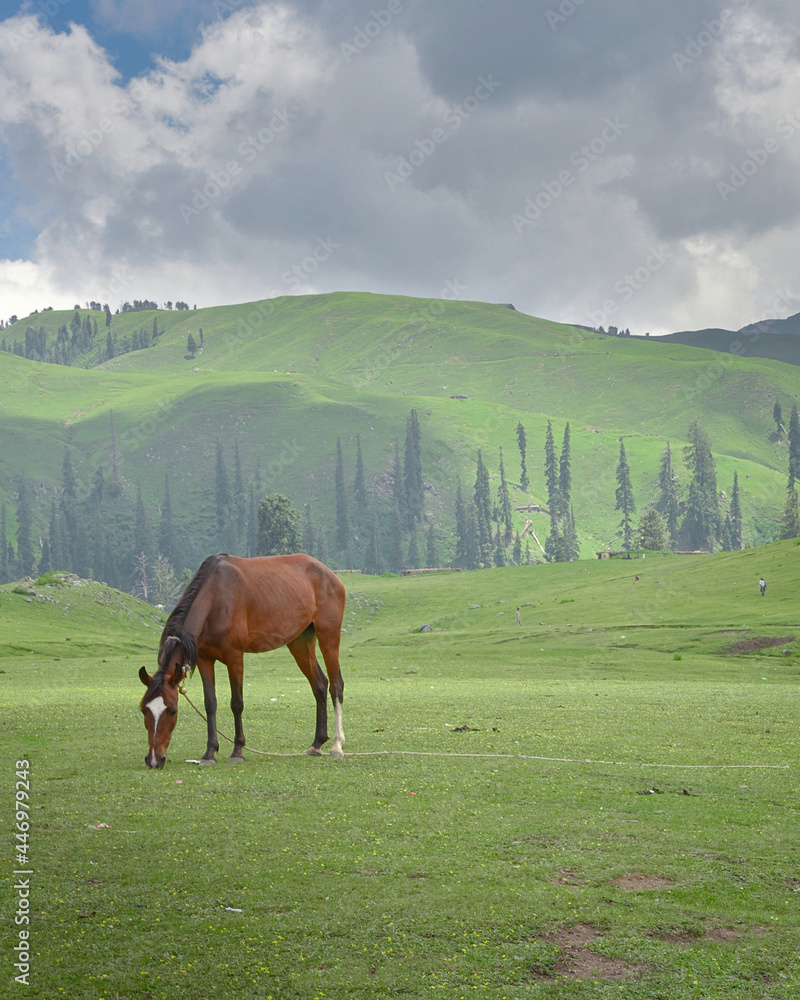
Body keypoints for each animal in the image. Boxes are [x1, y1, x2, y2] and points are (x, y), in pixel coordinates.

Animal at [139, 552, 346, 768]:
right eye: (144, 710)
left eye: (172, 711)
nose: (154, 760)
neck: (215, 599)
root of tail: (329, 573)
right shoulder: (205, 659)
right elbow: (210, 703)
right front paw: (209, 753)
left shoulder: (235, 657)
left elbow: (236, 703)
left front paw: (237, 750)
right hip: (300, 642)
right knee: (319, 684)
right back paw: (317, 743)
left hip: (328, 635)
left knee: (336, 686)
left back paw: (337, 746)